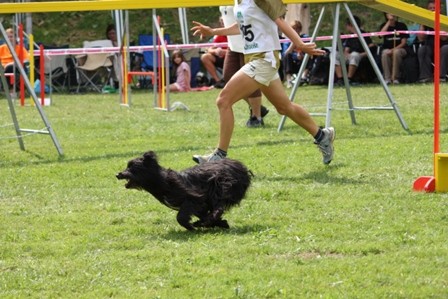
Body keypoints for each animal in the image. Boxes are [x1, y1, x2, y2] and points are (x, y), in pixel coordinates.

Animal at [116, 151, 252, 231]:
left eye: (132, 168)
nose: (118, 174)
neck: (162, 181)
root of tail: (240, 166)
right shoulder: (199, 205)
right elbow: (201, 213)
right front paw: (219, 223)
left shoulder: (194, 198)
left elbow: (181, 217)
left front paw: (193, 226)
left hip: (222, 186)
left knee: (218, 207)